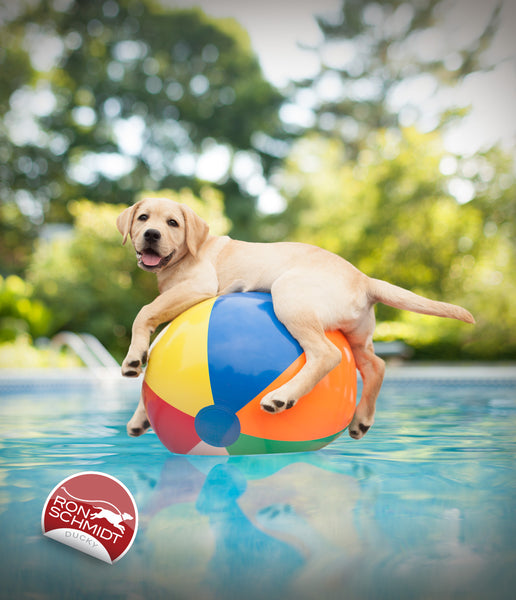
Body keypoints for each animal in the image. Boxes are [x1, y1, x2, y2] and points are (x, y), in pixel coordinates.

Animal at [118, 199, 476, 438]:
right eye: (143, 218)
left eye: (173, 224)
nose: (151, 234)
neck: (184, 257)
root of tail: (364, 279)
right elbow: (156, 343)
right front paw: (140, 415)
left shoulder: (198, 285)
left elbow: (143, 312)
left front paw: (133, 359)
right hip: (358, 333)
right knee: (376, 365)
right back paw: (362, 419)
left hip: (288, 294)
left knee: (327, 354)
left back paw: (281, 396)